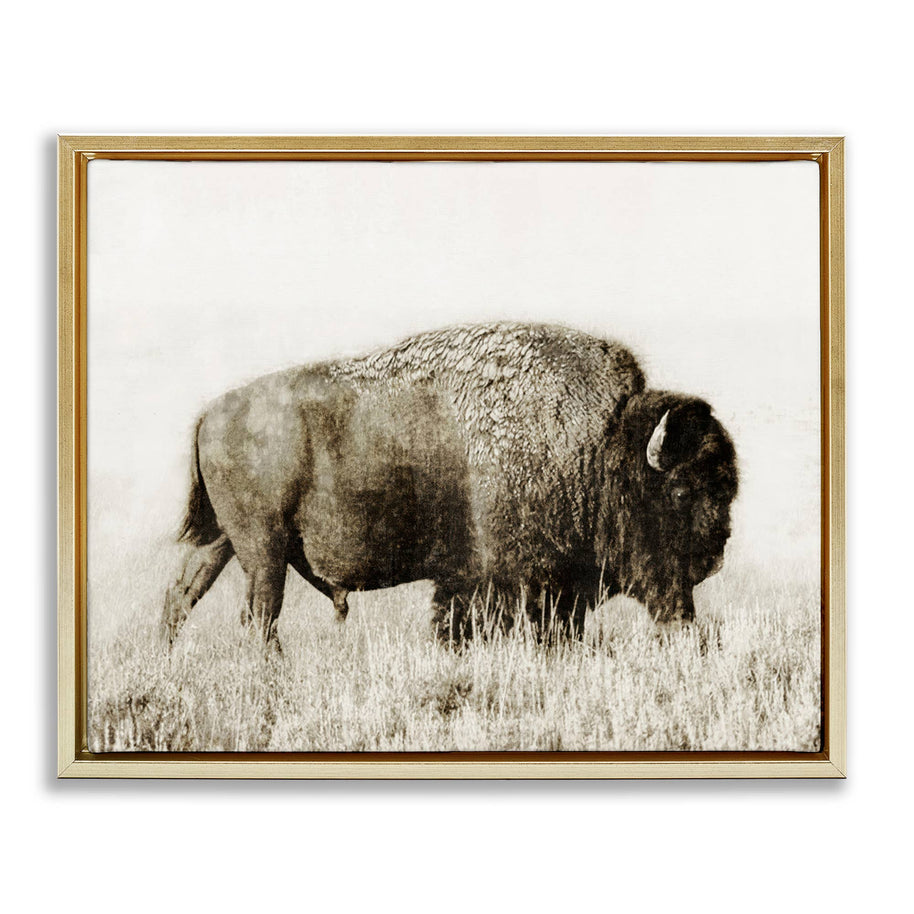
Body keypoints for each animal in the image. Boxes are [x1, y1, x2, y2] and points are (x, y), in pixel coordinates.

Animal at [163, 322, 738, 646]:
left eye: (726, 490)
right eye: (681, 492)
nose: (712, 557)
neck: (599, 443)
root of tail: (210, 413)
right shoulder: (509, 583)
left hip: (224, 542)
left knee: (181, 598)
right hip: (264, 549)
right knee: (259, 616)